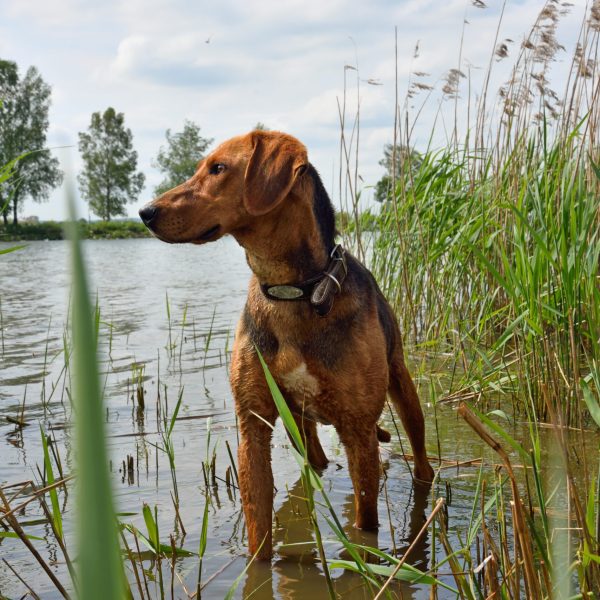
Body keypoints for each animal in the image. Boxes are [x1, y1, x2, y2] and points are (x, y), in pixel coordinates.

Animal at [138, 129, 434, 560]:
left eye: (218, 168)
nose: (145, 212)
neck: (292, 292)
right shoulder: (254, 425)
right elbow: (258, 530)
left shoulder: (359, 430)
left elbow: (365, 527)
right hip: (301, 425)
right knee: (317, 460)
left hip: (404, 395)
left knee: (422, 461)